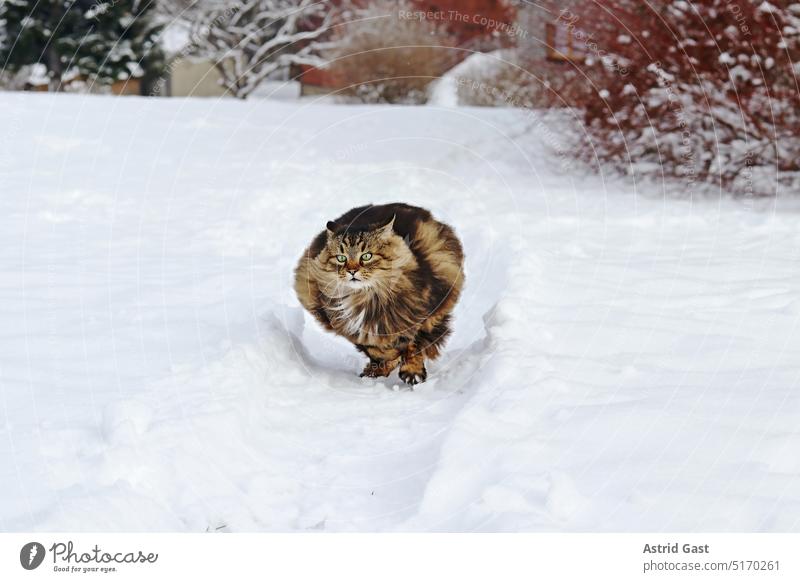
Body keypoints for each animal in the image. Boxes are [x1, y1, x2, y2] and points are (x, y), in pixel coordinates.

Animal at [296, 203, 466, 386]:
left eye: (366, 256)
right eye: (341, 258)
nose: (352, 271)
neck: (367, 298)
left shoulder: (426, 313)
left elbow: (413, 343)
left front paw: (412, 371)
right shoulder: (351, 327)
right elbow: (377, 349)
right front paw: (383, 365)